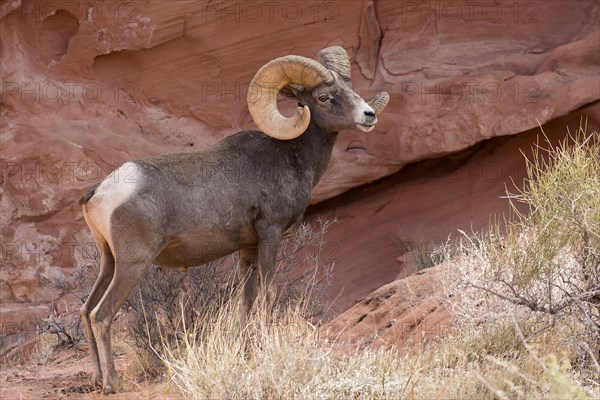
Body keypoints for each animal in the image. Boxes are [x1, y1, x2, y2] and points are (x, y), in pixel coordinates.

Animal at [78, 45, 390, 392]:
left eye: (350, 88)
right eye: (324, 97)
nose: (368, 115)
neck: (290, 156)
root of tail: (101, 192)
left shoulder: (248, 248)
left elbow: (246, 299)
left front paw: (245, 349)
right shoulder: (270, 233)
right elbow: (268, 294)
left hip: (109, 261)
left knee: (86, 310)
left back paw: (96, 378)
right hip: (133, 263)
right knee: (102, 315)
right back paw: (111, 383)